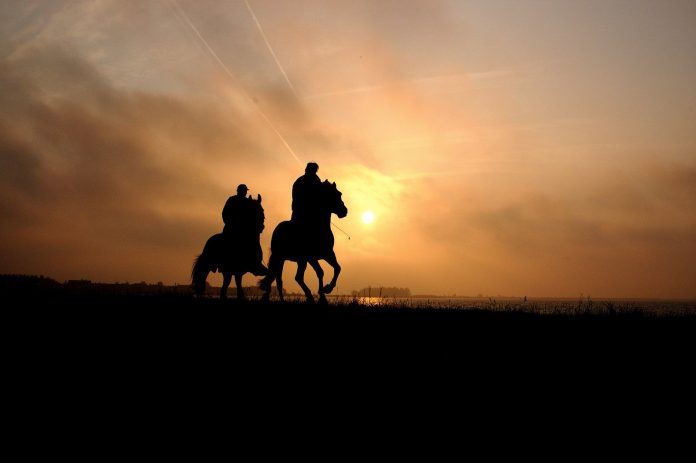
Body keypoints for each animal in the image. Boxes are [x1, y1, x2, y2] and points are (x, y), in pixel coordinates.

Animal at [193, 163, 348, 304]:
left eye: (339, 194)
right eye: (335, 195)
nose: (344, 211)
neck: (317, 227)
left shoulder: (327, 254)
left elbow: (337, 268)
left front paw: (326, 291)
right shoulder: (310, 256)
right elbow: (321, 272)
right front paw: (324, 292)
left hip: (298, 260)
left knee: (296, 277)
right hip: (282, 258)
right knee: (282, 278)